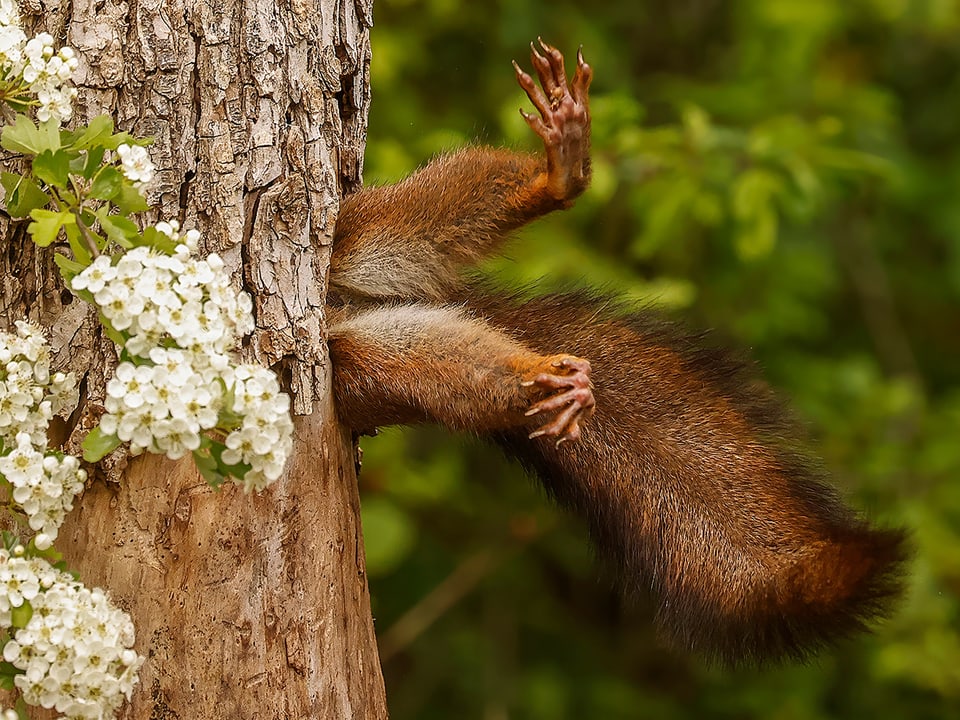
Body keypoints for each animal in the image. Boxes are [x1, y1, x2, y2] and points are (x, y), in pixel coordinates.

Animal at [324, 42, 908, 668]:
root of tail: (341, 307)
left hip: (354, 236)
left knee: (419, 216)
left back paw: (557, 176)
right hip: (358, 366)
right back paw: (544, 378)